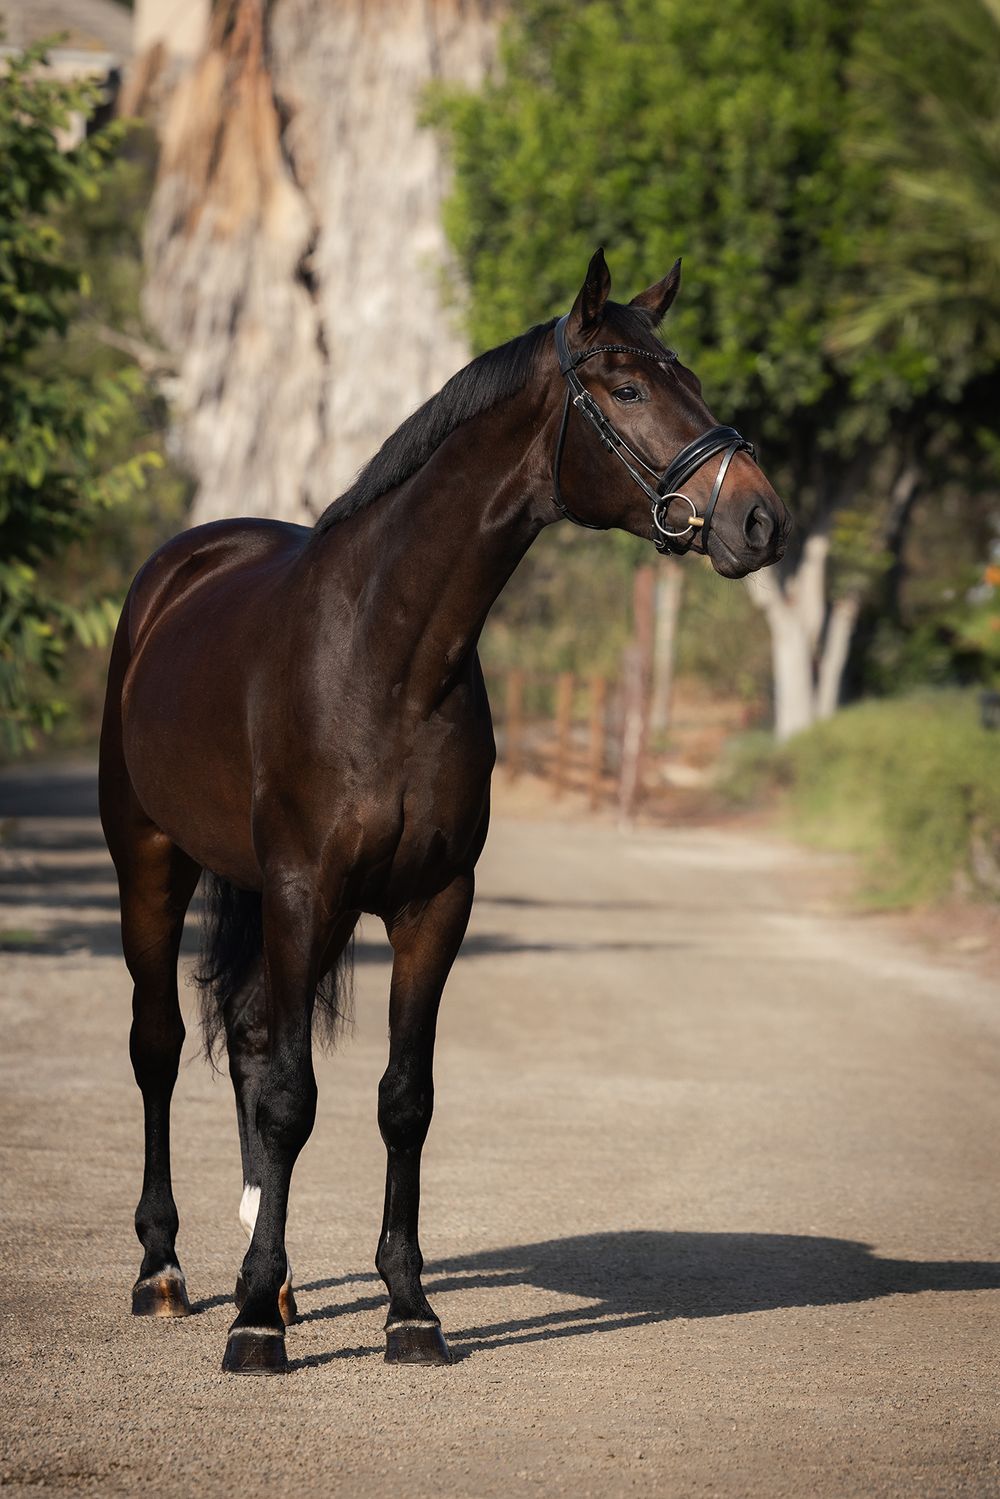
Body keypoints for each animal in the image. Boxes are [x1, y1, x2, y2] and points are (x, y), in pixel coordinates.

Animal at [99, 249, 791, 1374]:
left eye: (687, 376)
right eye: (626, 387)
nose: (759, 520)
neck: (385, 651)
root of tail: (179, 568)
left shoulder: (433, 903)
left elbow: (402, 1099)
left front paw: (408, 1308)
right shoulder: (305, 889)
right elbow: (293, 1097)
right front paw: (252, 1329)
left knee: (247, 1035)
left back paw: (275, 1279)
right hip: (151, 861)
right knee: (159, 1045)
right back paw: (169, 1270)